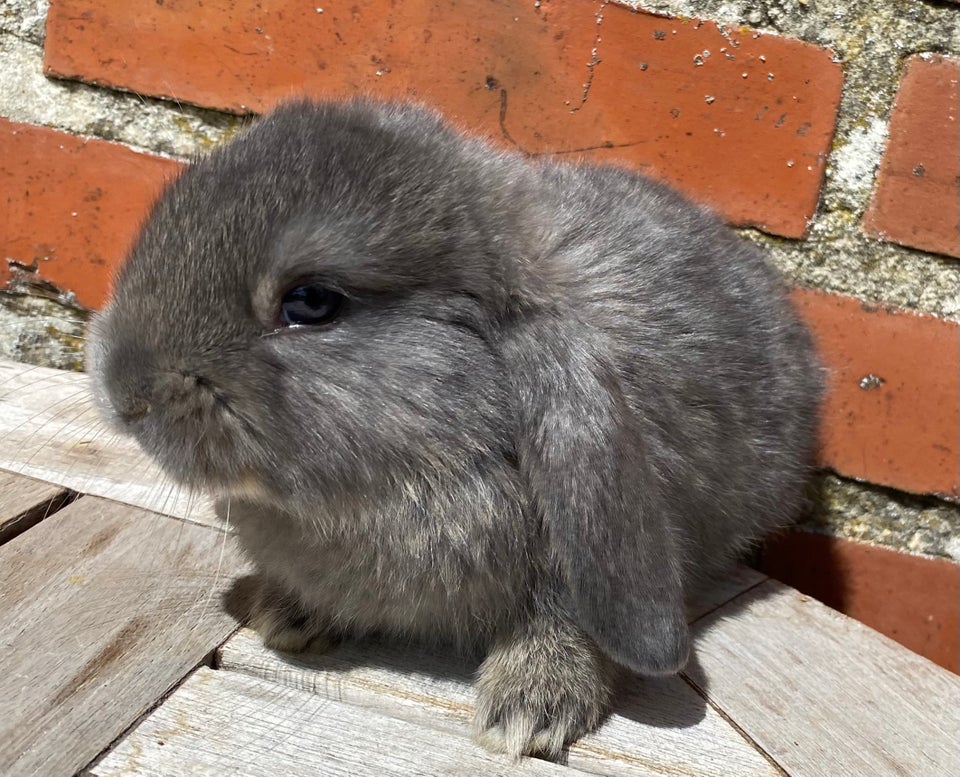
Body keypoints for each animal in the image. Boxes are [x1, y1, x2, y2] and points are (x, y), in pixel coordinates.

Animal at [90, 97, 820, 756]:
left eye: (311, 302)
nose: (124, 394)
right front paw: (287, 615)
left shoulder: (577, 563)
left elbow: (566, 624)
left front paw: (527, 711)